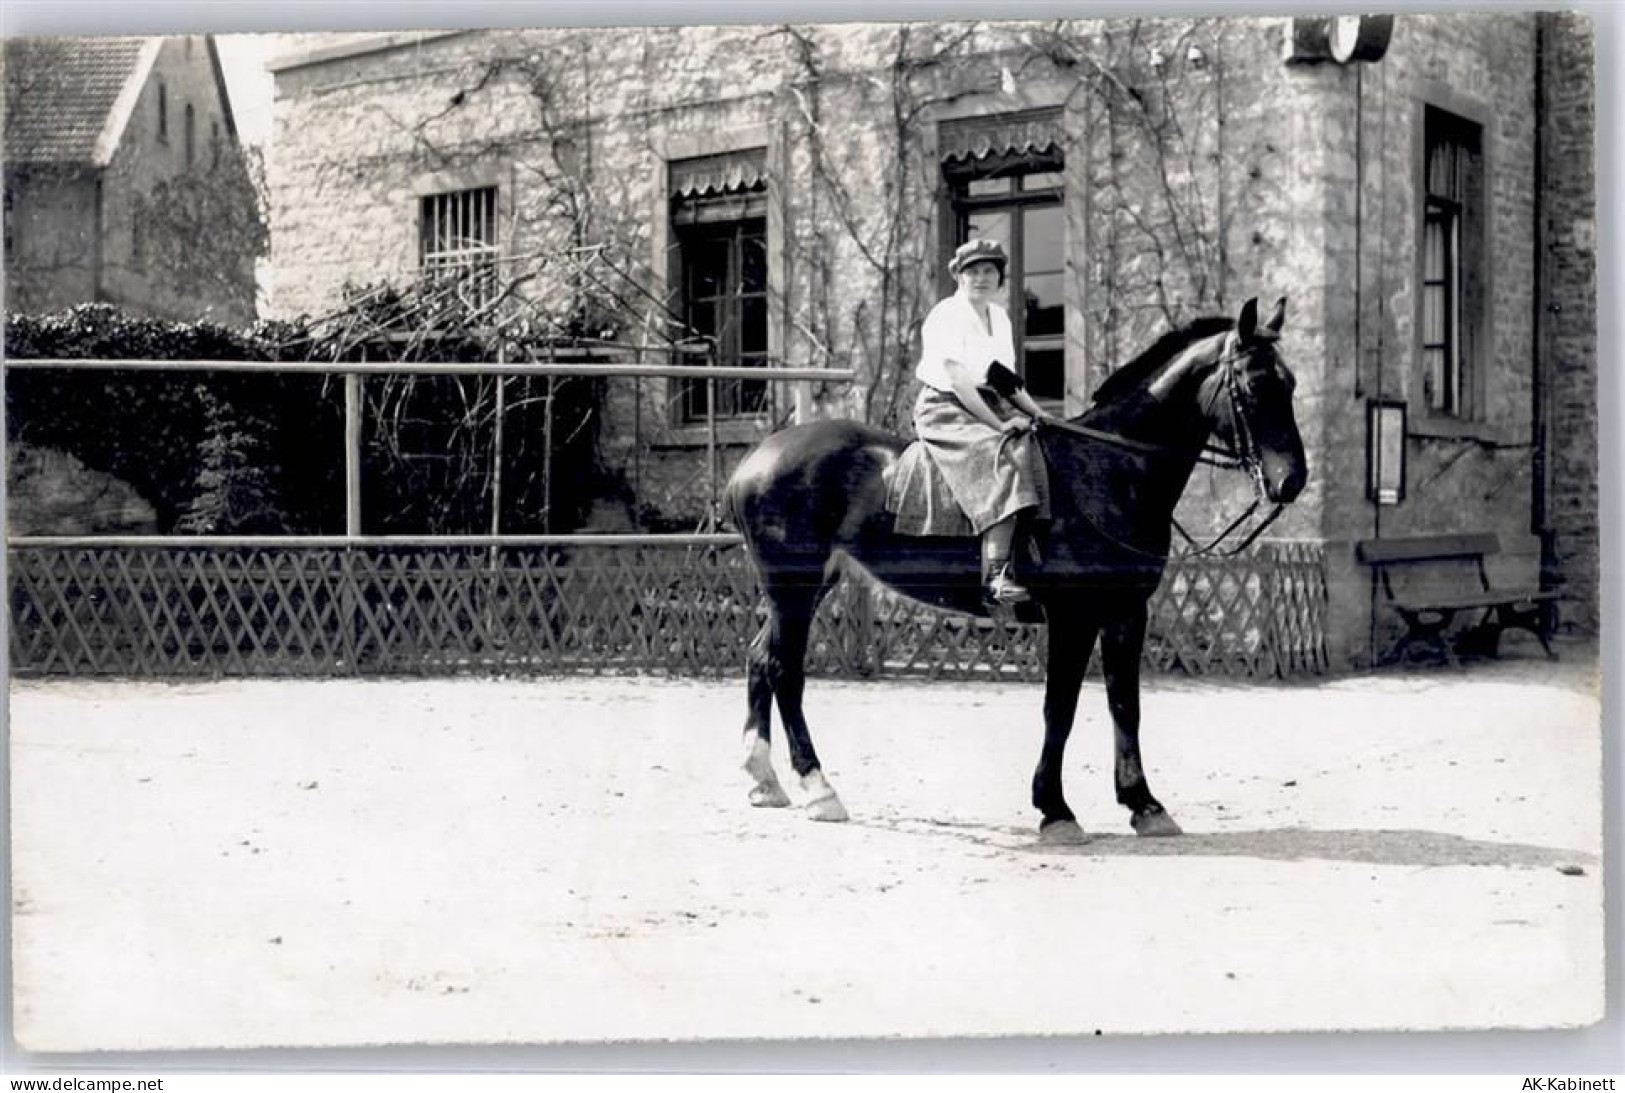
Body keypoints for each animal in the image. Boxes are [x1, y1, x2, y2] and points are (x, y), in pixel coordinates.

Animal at [723, 296, 1308, 843]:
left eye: (1291, 383)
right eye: (1253, 387)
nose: (1292, 481)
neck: (1108, 469)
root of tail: (756, 457)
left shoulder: (1126, 614)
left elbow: (1125, 705)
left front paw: (1144, 804)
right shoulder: (1073, 619)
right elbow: (1060, 709)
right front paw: (1056, 809)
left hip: (806, 589)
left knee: (760, 659)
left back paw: (763, 779)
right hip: (793, 589)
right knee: (785, 671)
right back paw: (818, 789)